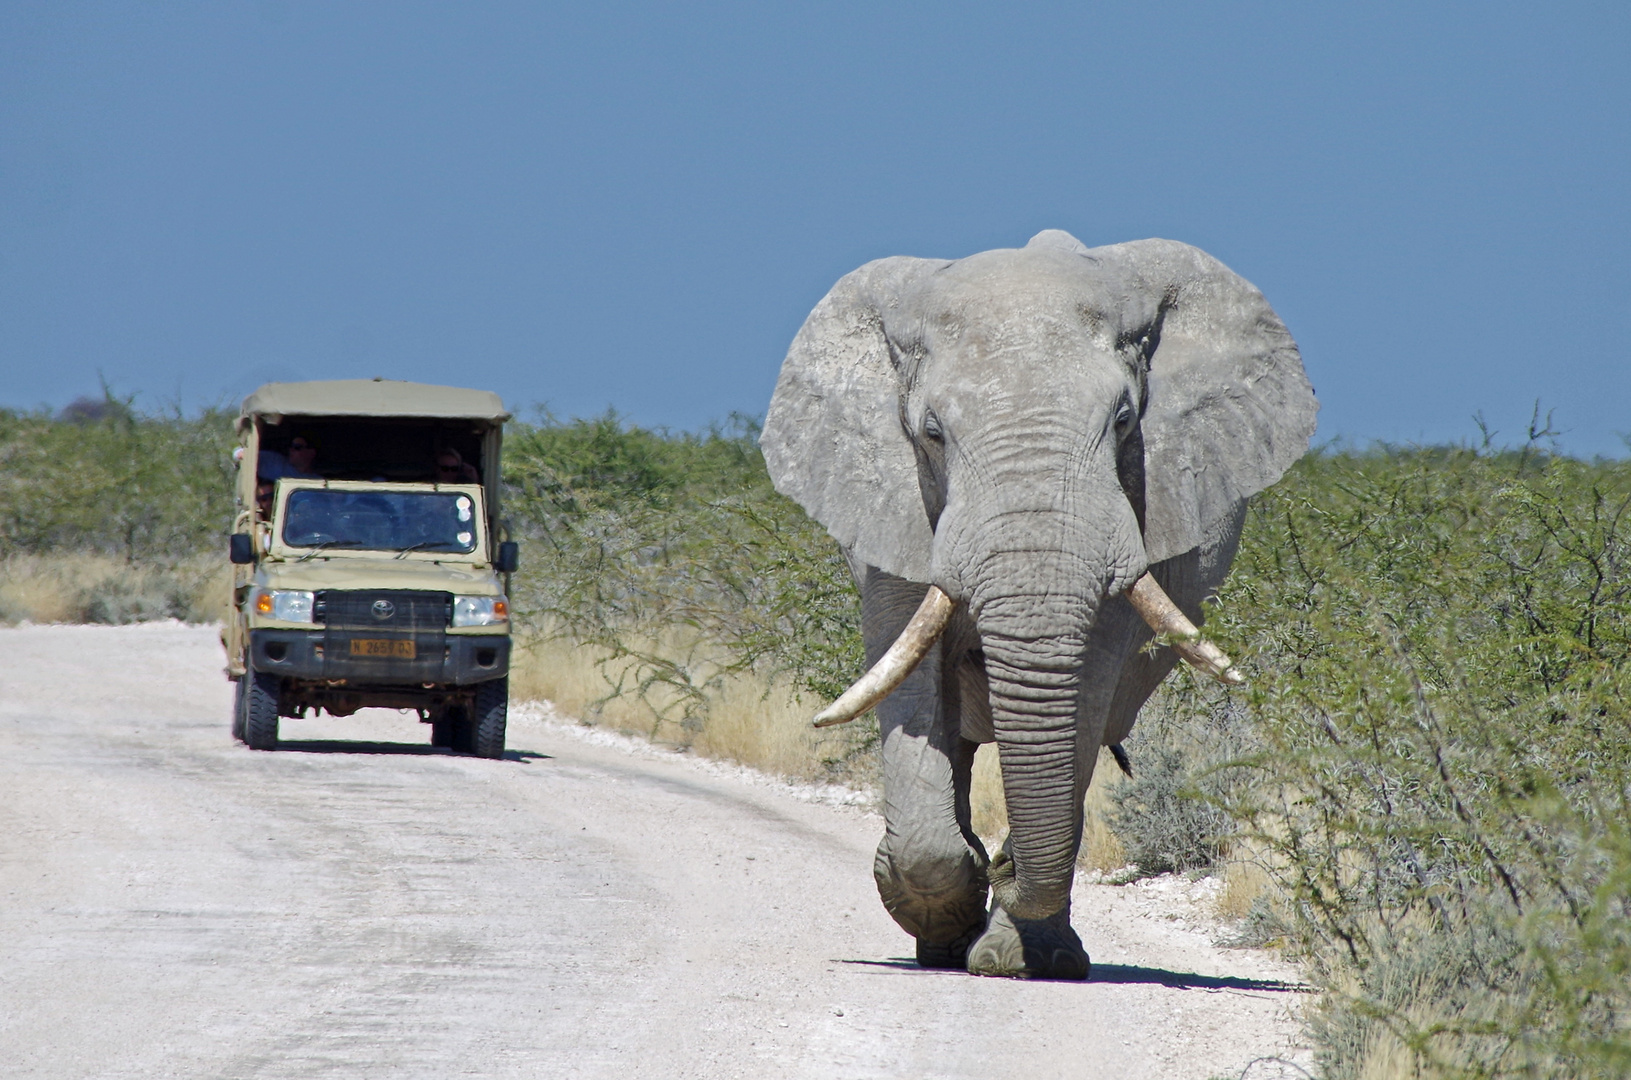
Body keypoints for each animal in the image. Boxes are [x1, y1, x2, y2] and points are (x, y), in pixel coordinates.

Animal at [760, 228, 1311, 978]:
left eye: (1124, 421)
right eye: (932, 433)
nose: (1001, 865)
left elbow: (1086, 684)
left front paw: (1007, 937)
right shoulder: (894, 512)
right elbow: (909, 679)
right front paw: (948, 897)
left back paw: (1027, 952)